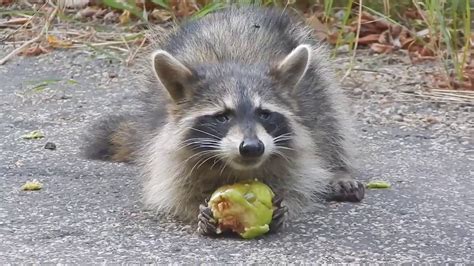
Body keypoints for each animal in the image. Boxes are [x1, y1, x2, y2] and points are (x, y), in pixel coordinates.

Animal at [83, 5, 364, 235]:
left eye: (264, 113)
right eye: (222, 117)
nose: (252, 147)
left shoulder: (297, 138)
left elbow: (300, 179)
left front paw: (284, 204)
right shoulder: (165, 145)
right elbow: (173, 190)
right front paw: (196, 210)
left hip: (316, 80)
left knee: (330, 124)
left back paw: (338, 169)